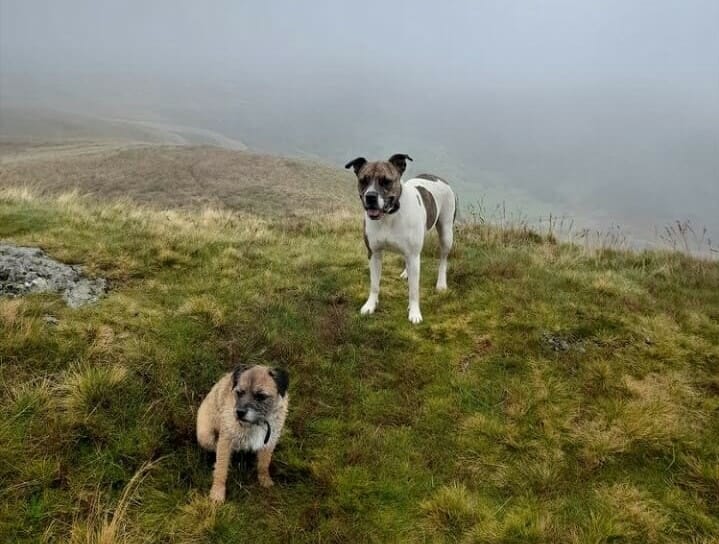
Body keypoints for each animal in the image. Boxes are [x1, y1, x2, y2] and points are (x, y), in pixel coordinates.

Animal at [346, 153, 458, 324]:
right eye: (363, 180)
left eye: (386, 181)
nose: (370, 196)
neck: (389, 216)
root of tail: (438, 178)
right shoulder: (374, 253)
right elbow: (374, 284)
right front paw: (370, 305)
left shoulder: (413, 255)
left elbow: (414, 290)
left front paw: (414, 312)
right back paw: (406, 273)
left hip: (446, 232)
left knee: (443, 259)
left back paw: (441, 284)